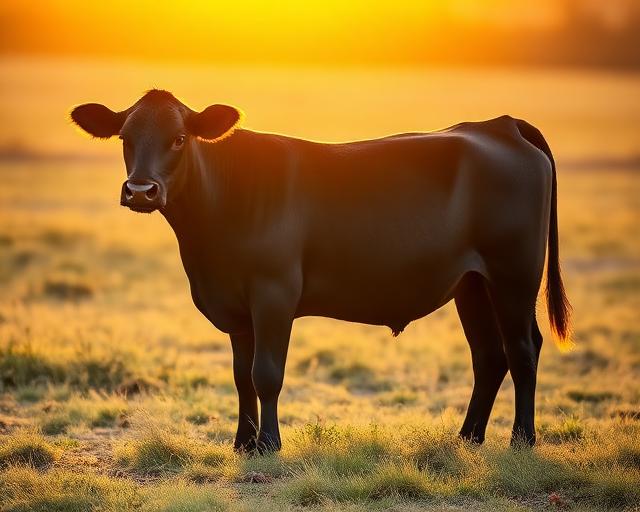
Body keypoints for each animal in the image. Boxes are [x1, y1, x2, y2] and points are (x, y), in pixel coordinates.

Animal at [71, 89, 571, 452]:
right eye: (124, 137)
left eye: (178, 138)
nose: (140, 190)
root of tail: (500, 125)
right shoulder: (235, 308)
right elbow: (240, 375)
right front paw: (242, 443)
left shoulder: (274, 293)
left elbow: (266, 373)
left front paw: (268, 444)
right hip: (472, 284)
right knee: (489, 356)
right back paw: (468, 437)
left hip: (514, 275)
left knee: (523, 350)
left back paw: (522, 441)